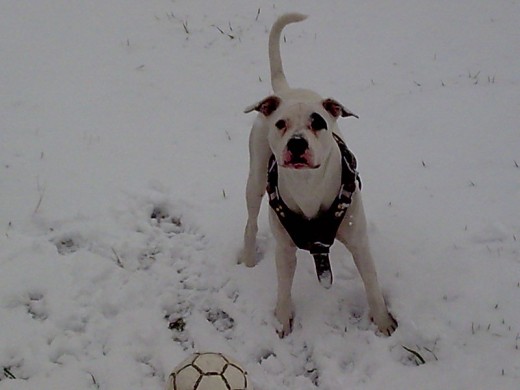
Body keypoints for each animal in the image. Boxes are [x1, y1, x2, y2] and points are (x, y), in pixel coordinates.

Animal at [240, 11, 398, 336]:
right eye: (281, 123)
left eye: (318, 122)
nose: (297, 143)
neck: (308, 187)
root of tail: (285, 91)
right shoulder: (285, 249)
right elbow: (283, 287)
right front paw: (283, 319)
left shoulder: (359, 241)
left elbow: (372, 283)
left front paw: (383, 321)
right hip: (255, 177)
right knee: (250, 221)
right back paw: (248, 260)